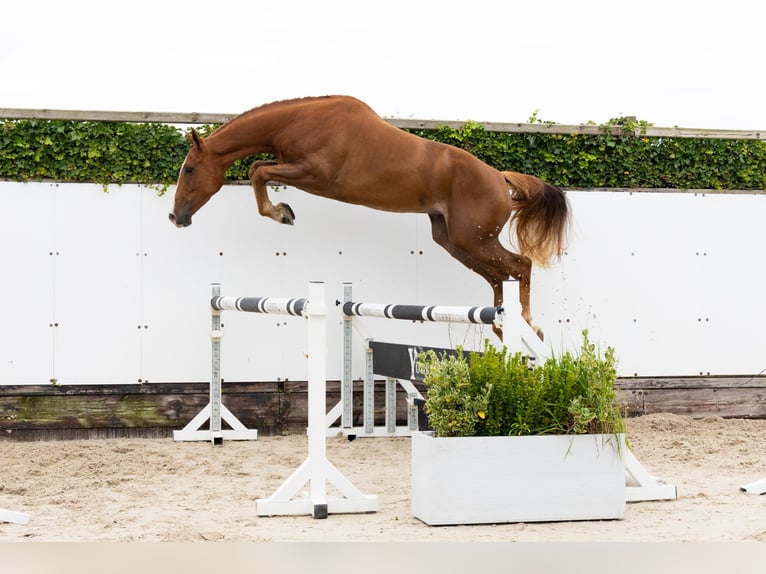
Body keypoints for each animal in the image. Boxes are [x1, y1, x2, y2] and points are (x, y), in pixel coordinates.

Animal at [169, 95, 569, 340]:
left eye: (189, 169)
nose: (176, 217)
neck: (300, 120)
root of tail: (499, 177)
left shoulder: (312, 174)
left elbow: (257, 171)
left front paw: (282, 214)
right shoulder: (294, 167)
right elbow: (259, 168)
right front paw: (283, 211)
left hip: (474, 238)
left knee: (519, 266)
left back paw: (529, 326)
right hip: (455, 242)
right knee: (499, 276)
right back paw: (503, 329)